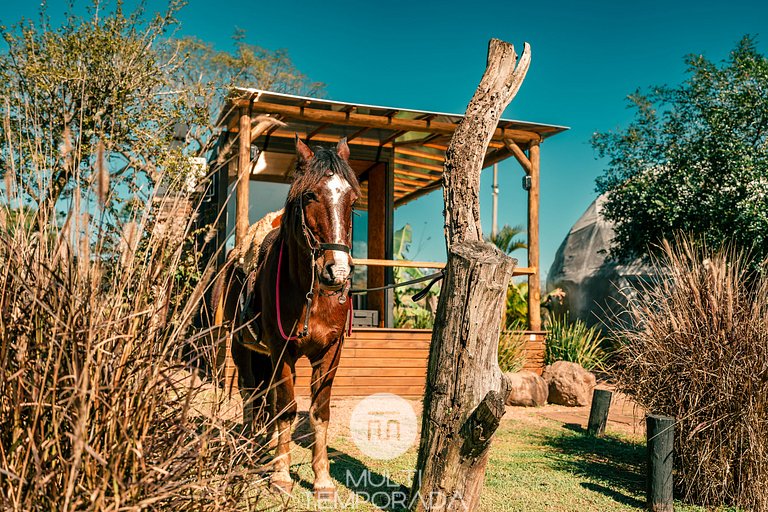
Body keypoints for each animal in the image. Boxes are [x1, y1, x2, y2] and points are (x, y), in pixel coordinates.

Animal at [216, 135, 360, 496]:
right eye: (310, 195)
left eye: (352, 199)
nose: (337, 271)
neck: (312, 295)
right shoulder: (281, 351)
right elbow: (286, 409)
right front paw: (281, 475)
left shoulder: (331, 354)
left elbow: (319, 412)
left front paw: (322, 479)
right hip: (241, 349)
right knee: (252, 395)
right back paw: (251, 447)